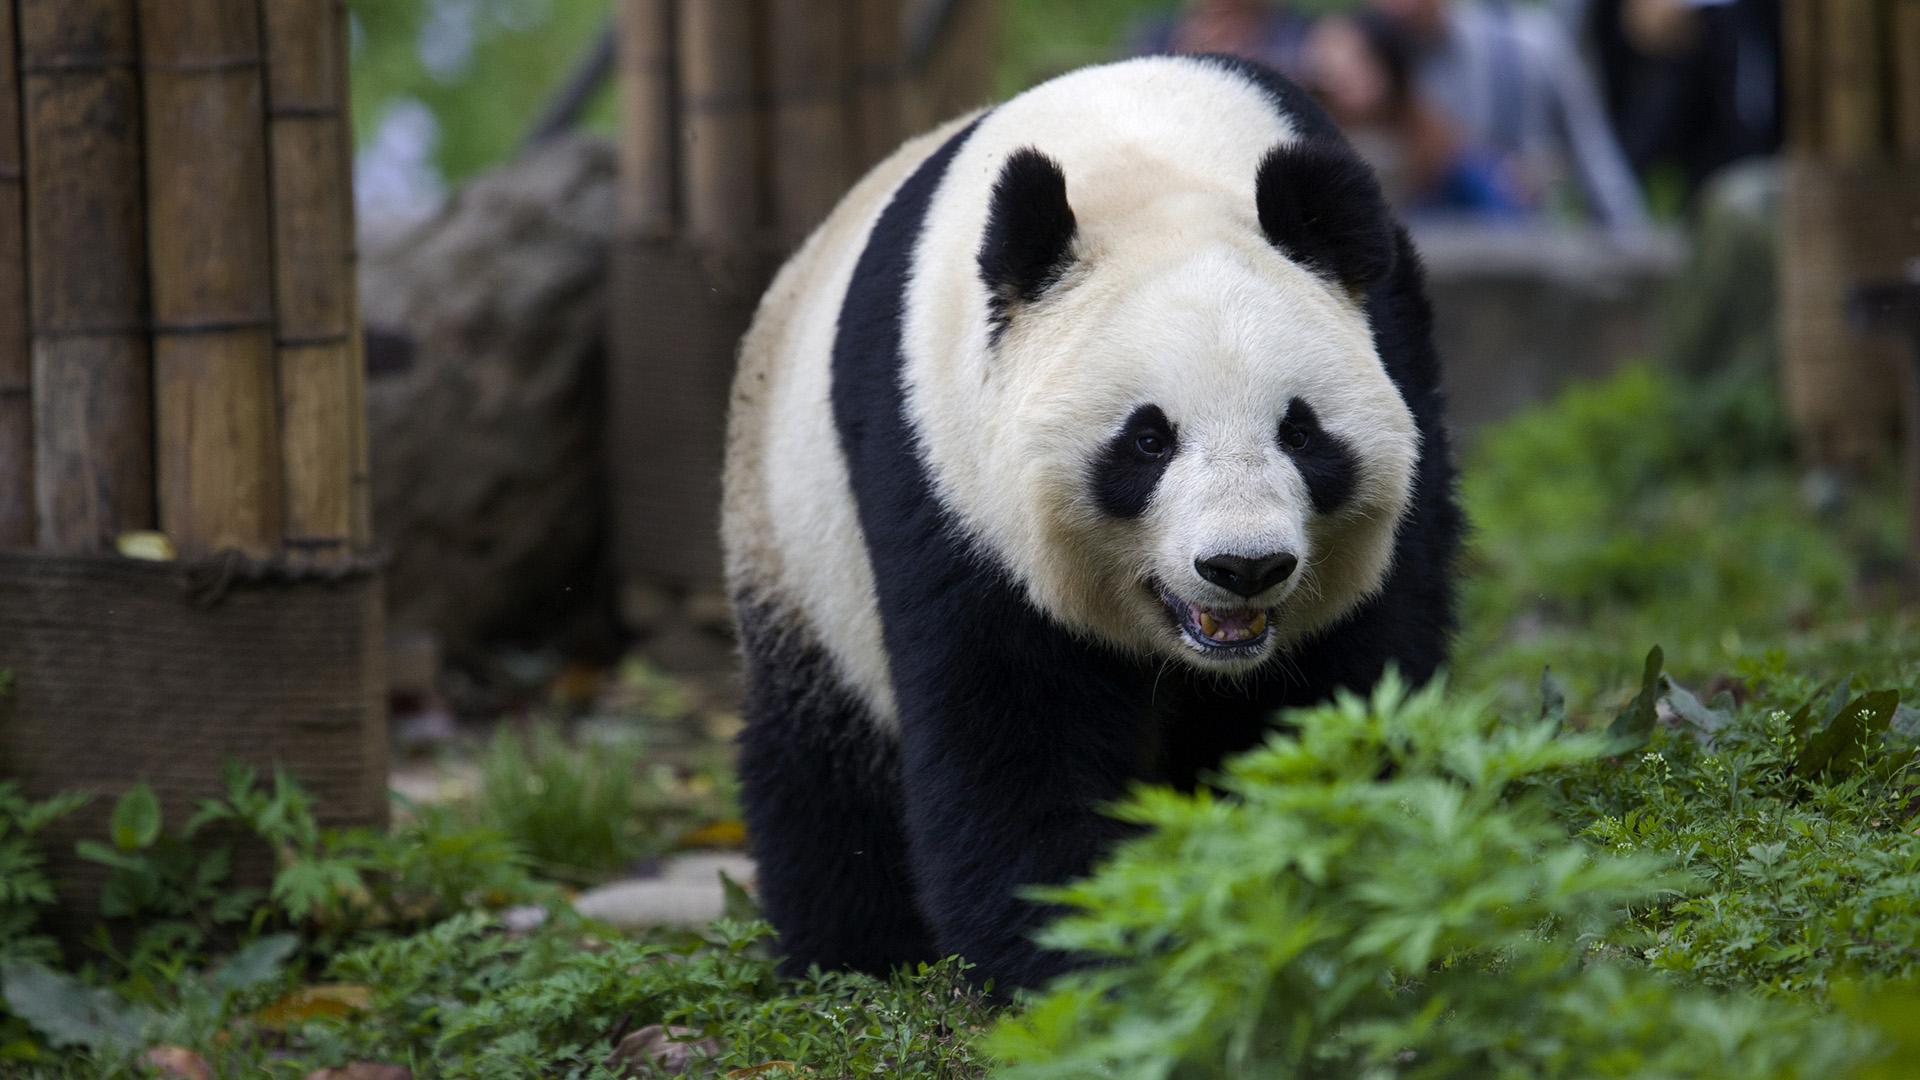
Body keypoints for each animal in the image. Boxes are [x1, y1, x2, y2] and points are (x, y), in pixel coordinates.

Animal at [718, 54, 1451, 991]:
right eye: (1147, 439)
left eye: (1300, 431)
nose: (1243, 568)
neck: (1142, 165)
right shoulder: (943, 469)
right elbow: (1011, 726)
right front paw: (1088, 959)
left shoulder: (1398, 353)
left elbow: (1348, 683)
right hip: (793, 546)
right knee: (818, 764)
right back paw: (852, 955)